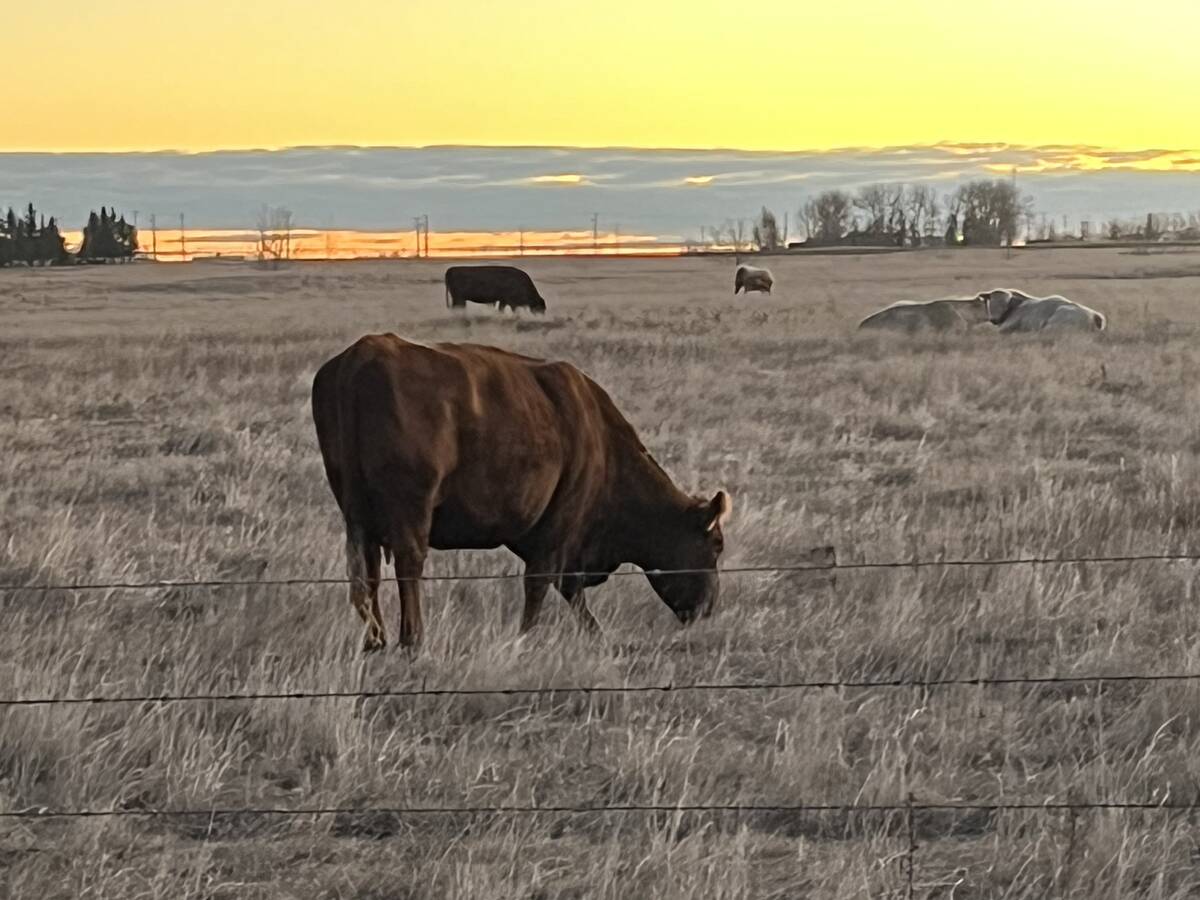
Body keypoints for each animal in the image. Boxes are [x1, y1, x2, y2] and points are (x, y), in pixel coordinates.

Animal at [311, 334, 732, 653]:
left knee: (364, 573)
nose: (709, 608)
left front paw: (596, 635)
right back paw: (412, 640)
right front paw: (525, 638)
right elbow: (543, 583)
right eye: (716, 546)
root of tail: (364, 354)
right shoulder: (559, 526)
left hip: (357, 514)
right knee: (408, 566)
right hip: (411, 510)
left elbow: (570, 590)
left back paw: (375, 641)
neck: (600, 438)